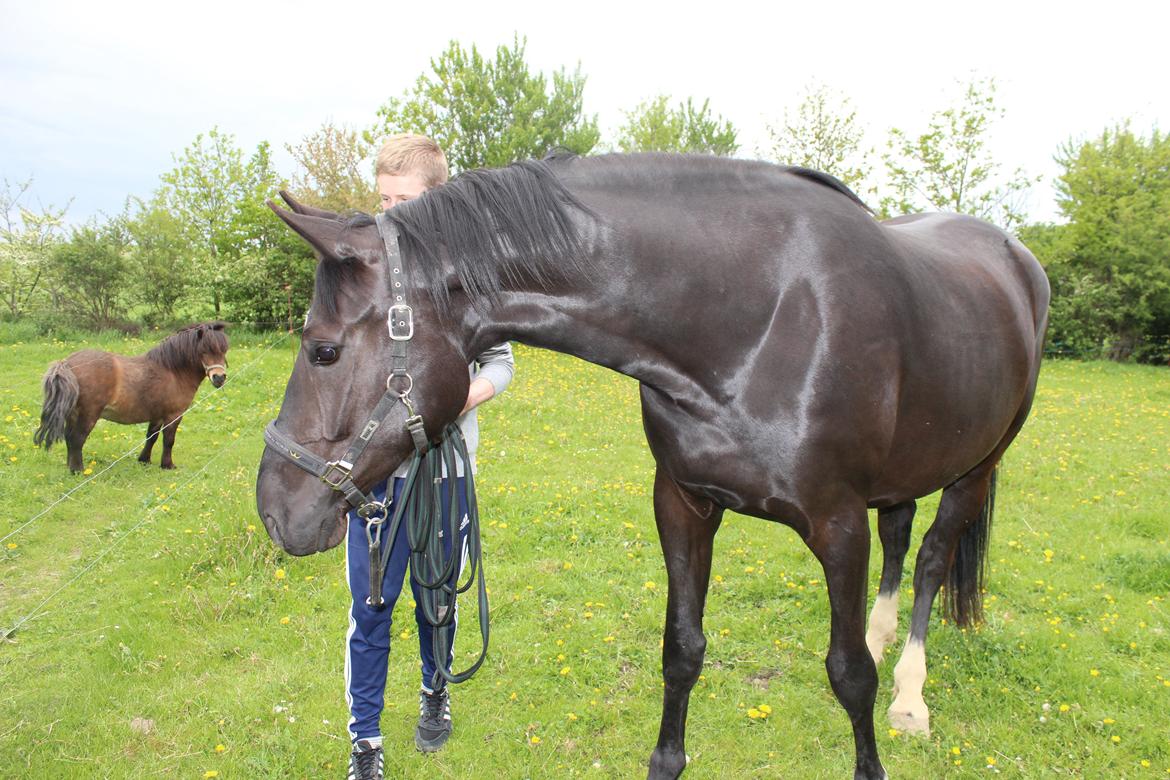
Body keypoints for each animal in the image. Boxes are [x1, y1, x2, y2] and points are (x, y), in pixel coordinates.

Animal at [34, 322, 228, 472]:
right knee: (76, 439)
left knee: (69, 438)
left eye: (224, 350)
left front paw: (144, 460)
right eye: (204, 351)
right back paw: (78, 471)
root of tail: (67, 363)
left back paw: (70, 467)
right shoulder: (173, 415)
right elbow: (168, 440)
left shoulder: (157, 415)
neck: (173, 370)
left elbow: (151, 437)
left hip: (73, 414)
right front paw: (167, 465)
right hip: (88, 415)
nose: (219, 377)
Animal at [251, 154, 1048, 780]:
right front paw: (666, 762)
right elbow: (682, 650)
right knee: (900, 539)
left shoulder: (837, 524)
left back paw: (909, 695)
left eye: (323, 349)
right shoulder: (684, 503)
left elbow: (849, 675)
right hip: (907, 473)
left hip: (978, 466)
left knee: (933, 559)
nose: (275, 508)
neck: (758, 316)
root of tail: (1017, 258)